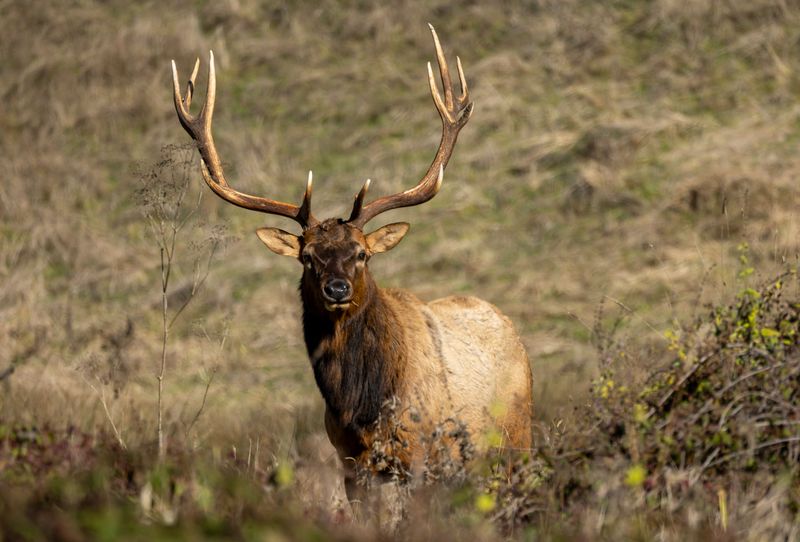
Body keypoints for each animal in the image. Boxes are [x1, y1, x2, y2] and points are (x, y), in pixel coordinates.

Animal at [171, 25, 533, 504]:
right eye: (307, 257)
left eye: (362, 254)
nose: (337, 289)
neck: (362, 409)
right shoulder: (351, 465)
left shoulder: (419, 456)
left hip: (516, 439)